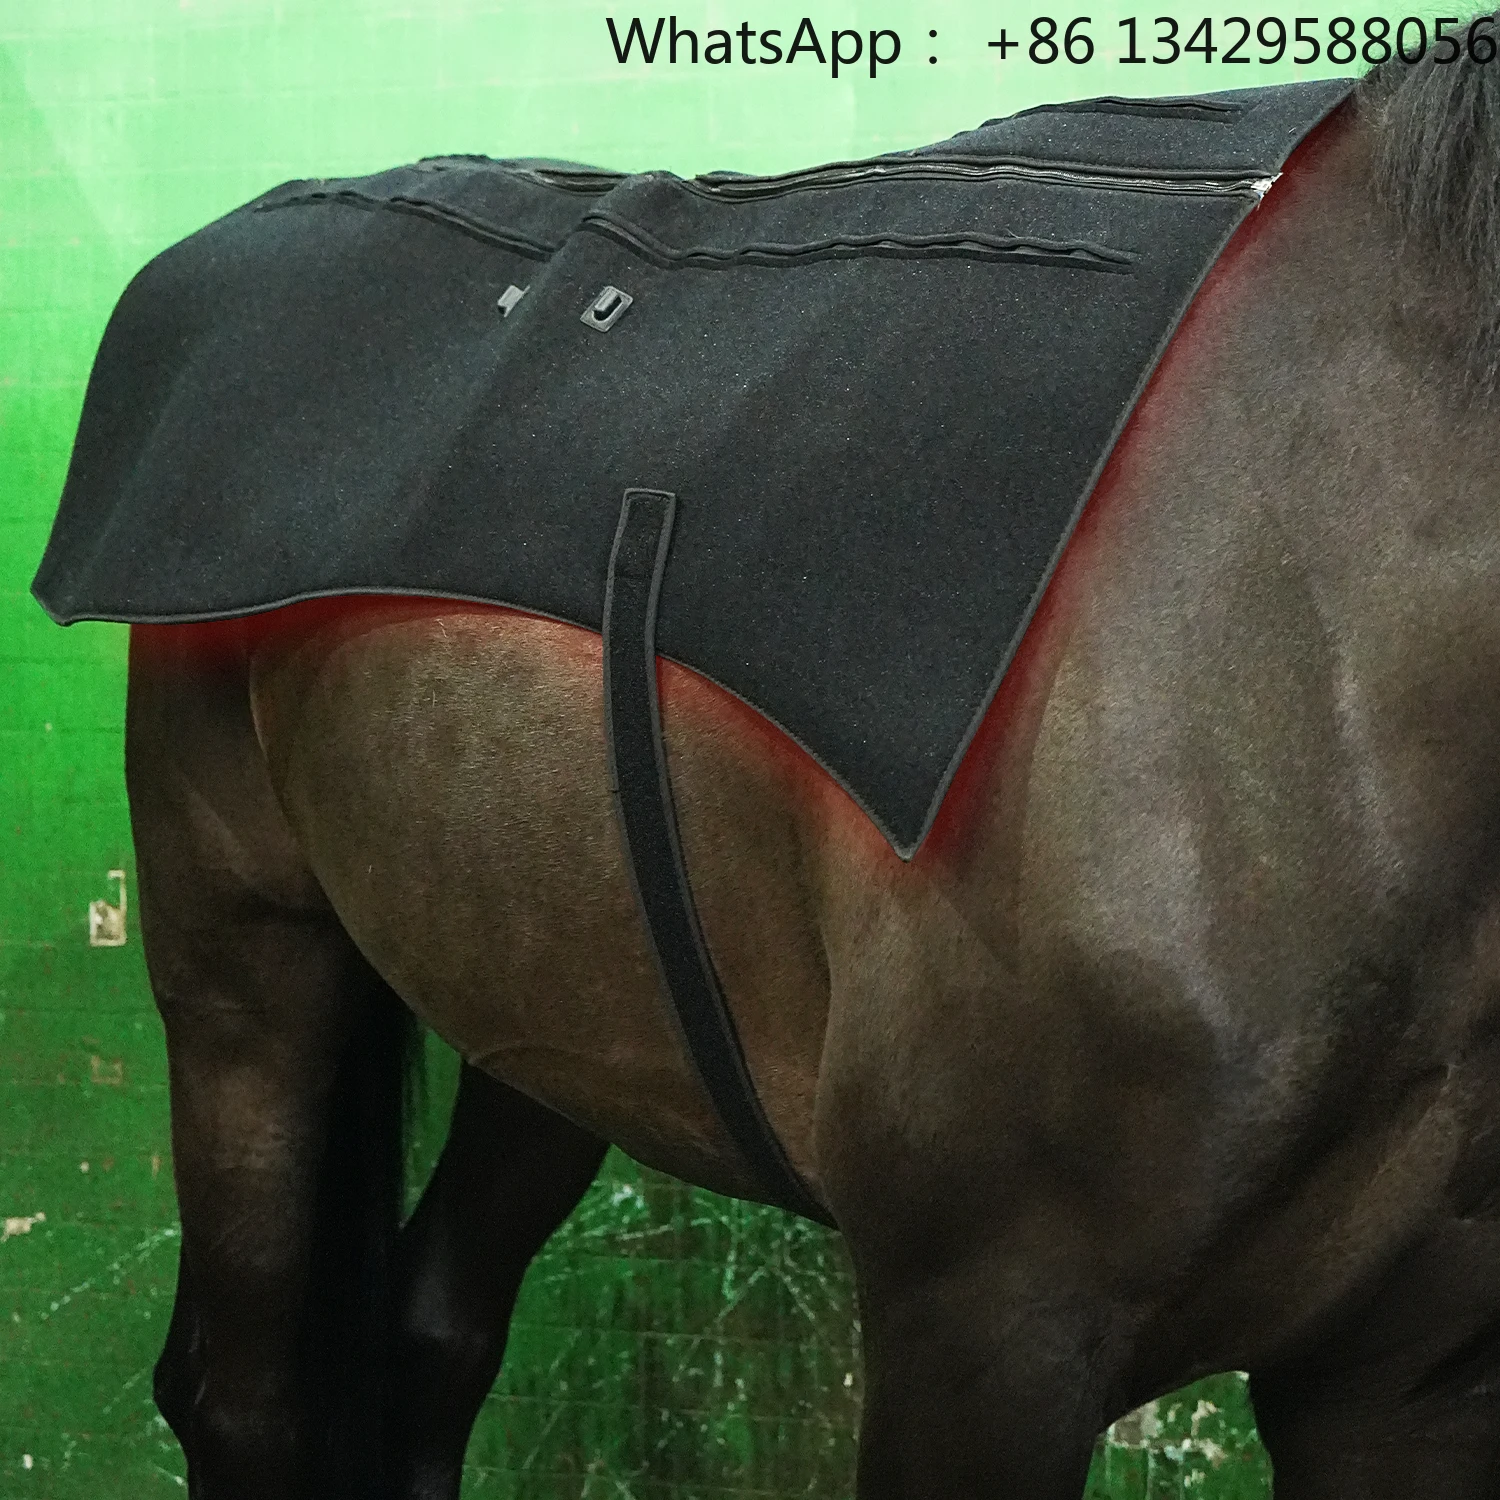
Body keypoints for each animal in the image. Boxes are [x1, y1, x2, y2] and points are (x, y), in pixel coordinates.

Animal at [110, 38, 1500, 1500]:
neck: (1324, 636)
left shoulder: (1411, 1377)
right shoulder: (982, 1330)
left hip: (549, 1009)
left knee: (433, 1330)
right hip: (244, 972)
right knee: (238, 1393)